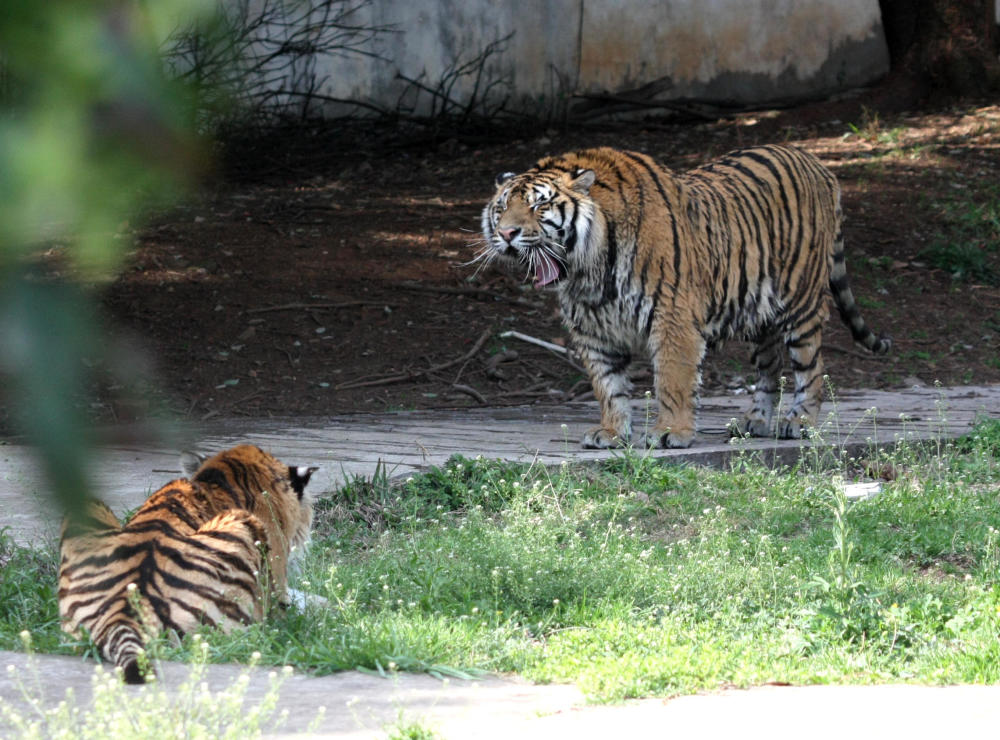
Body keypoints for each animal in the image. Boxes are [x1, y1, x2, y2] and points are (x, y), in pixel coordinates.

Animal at [480, 143, 896, 446]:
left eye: (540, 204)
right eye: (502, 207)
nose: (506, 233)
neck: (588, 270)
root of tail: (819, 165)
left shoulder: (672, 317)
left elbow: (672, 379)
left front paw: (670, 433)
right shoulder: (593, 329)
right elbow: (608, 385)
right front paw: (612, 432)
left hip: (802, 303)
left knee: (811, 368)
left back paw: (800, 423)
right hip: (757, 315)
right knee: (769, 368)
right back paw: (755, 422)